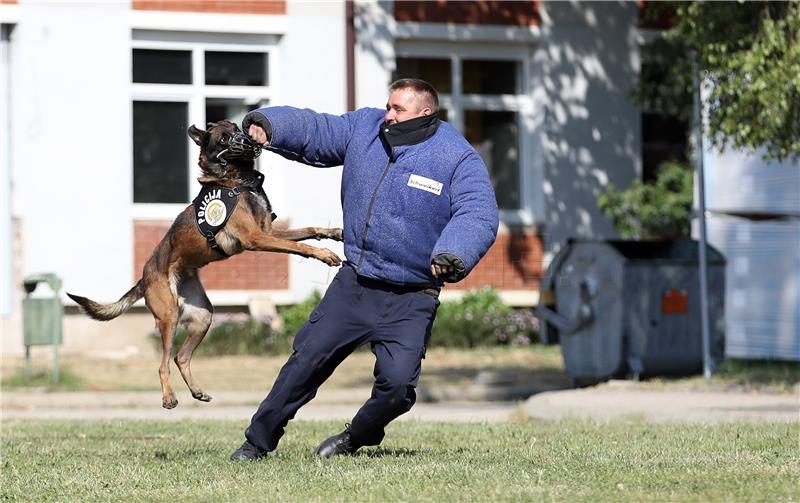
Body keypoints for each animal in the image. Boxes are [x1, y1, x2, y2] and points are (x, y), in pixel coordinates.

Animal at [68, 121, 340, 410]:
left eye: (237, 127)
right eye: (223, 139)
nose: (249, 139)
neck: (236, 179)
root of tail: (144, 278)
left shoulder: (268, 231)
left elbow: (308, 230)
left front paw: (334, 233)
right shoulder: (256, 238)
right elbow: (299, 246)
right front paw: (325, 254)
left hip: (203, 316)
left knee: (181, 357)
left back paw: (197, 391)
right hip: (169, 316)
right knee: (164, 364)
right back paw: (168, 397)